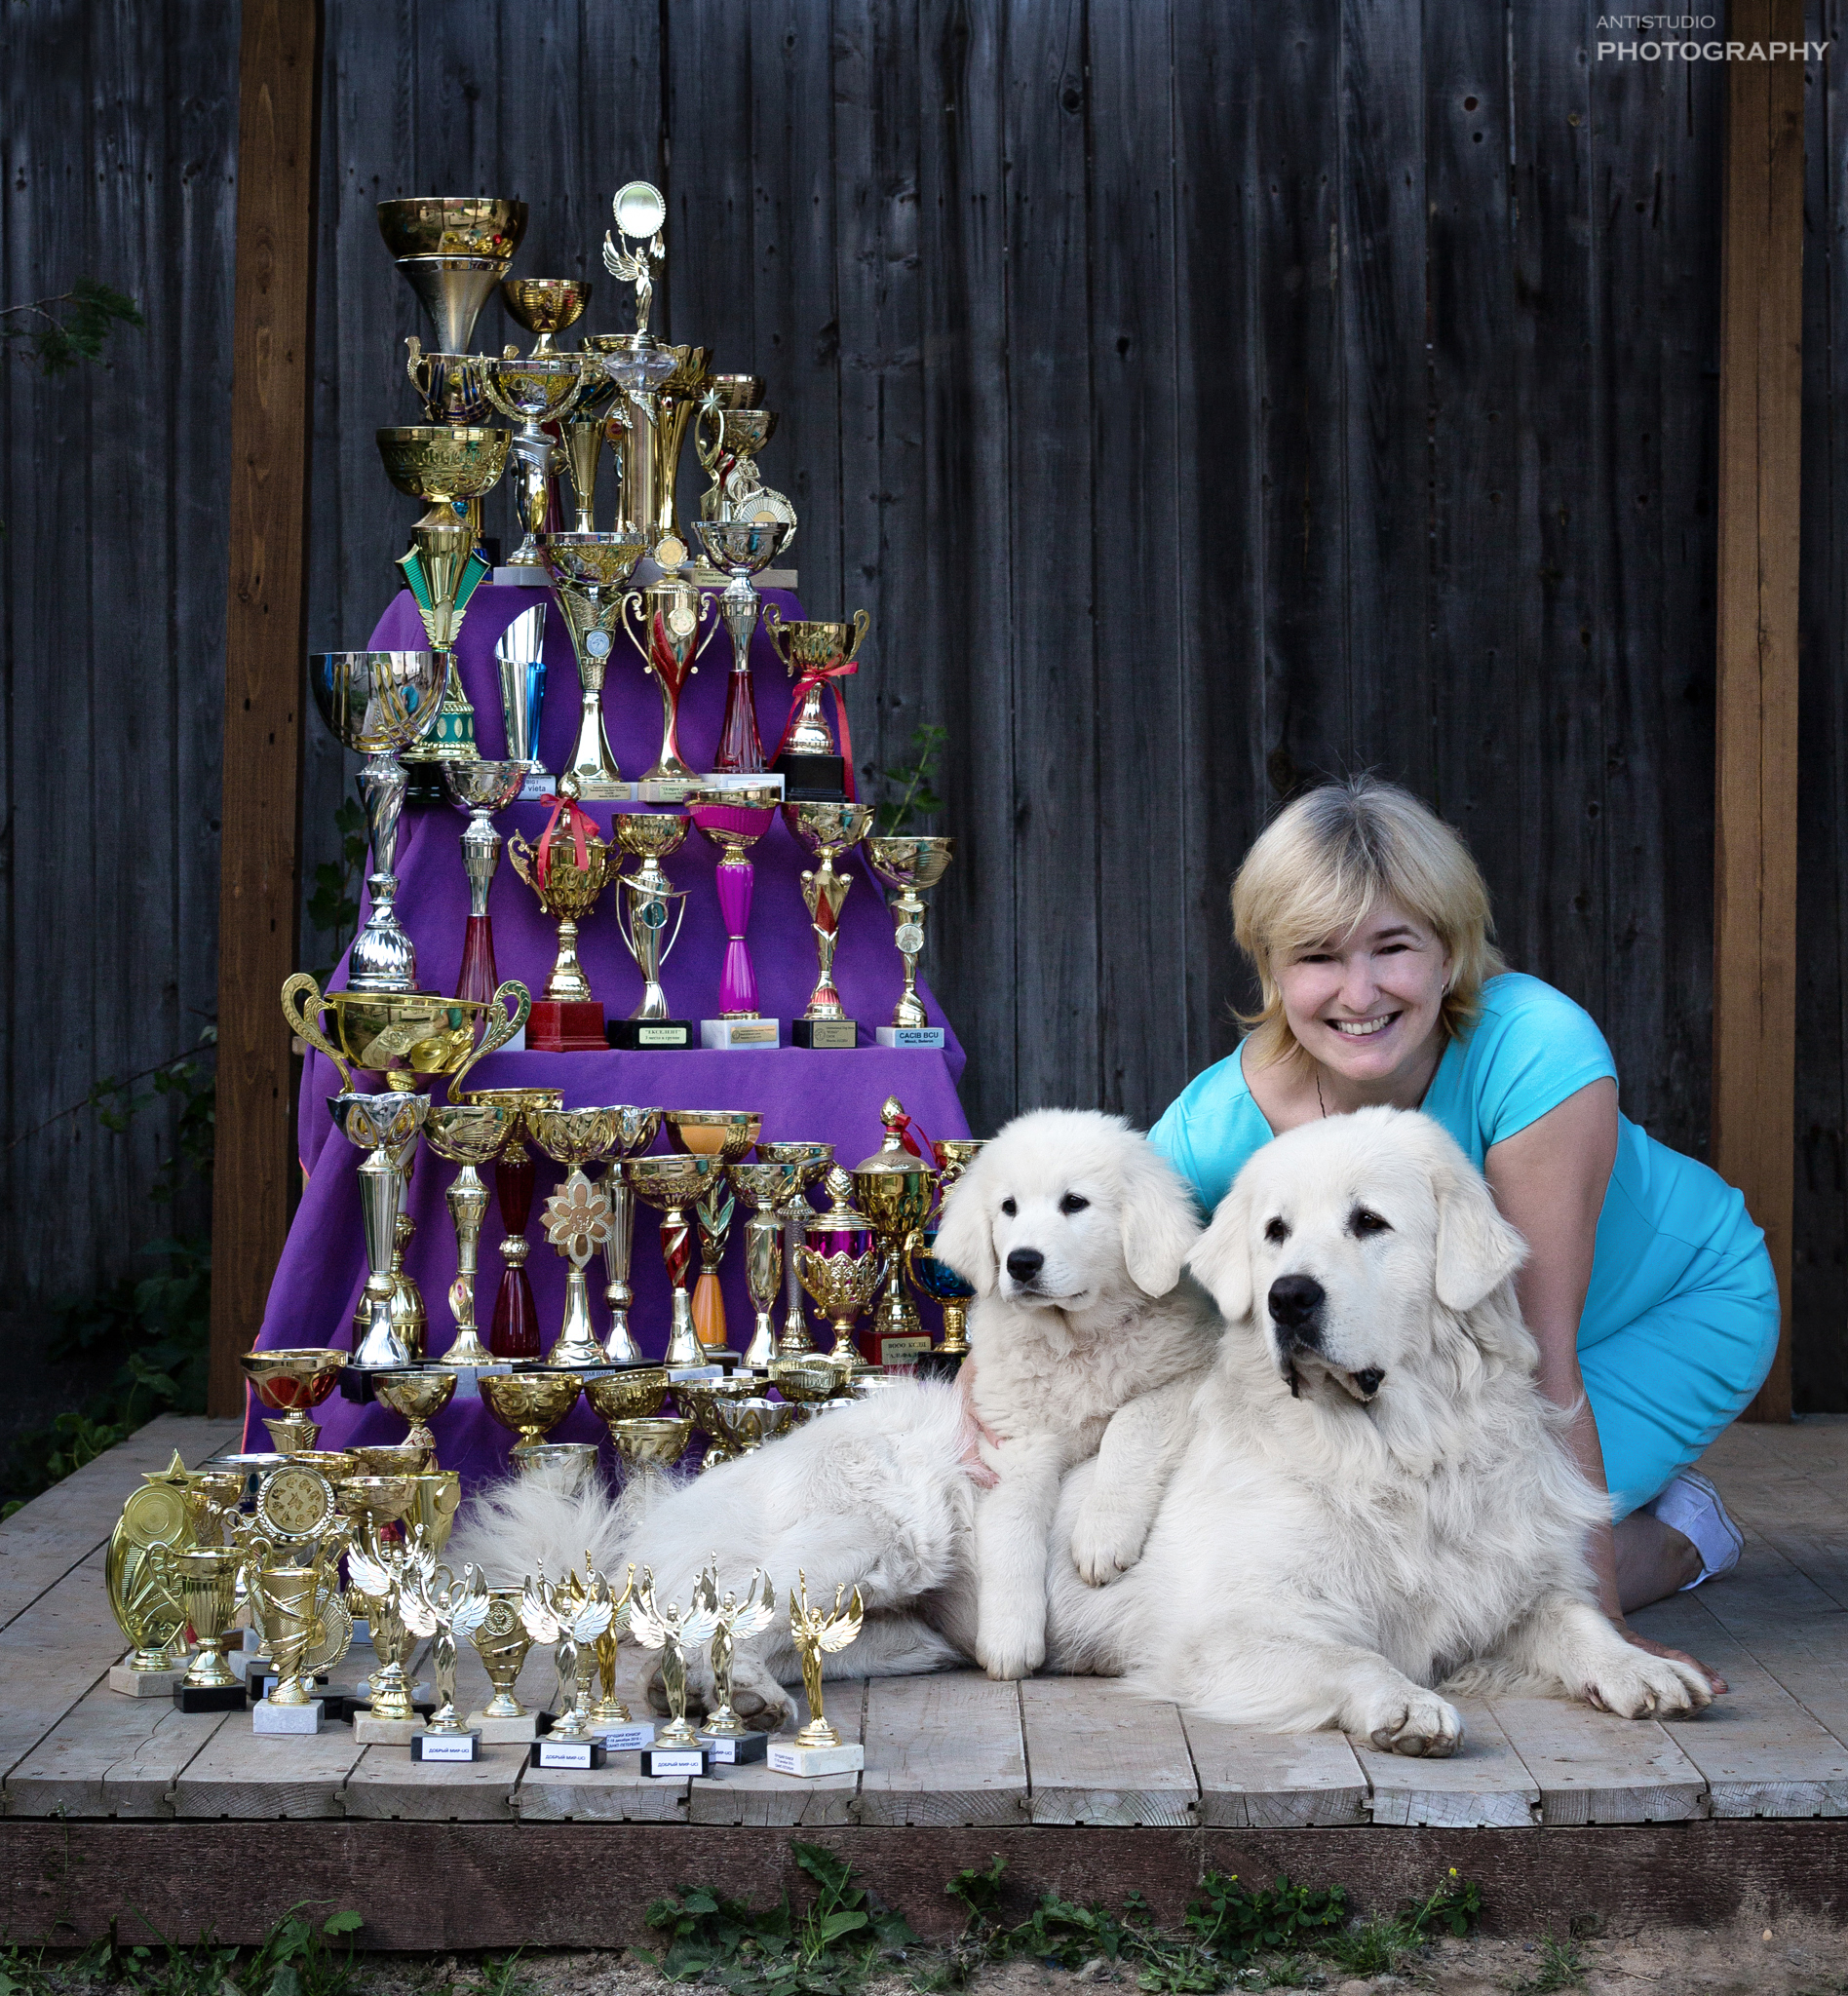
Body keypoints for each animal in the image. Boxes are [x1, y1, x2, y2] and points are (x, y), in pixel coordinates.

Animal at [452, 1109, 1221, 1716]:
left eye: (1076, 1204)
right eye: (1008, 1208)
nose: (1023, 1263)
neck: (1075, 1345)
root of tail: (655, 1532)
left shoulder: (1182, 1375)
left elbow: (1136, 1421)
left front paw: (1101, 1538)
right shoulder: (1010, 1441)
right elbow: (1015, 1529)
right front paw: (1014, 1636)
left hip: (897, 1631)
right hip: (880, 1531)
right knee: (740, 1609)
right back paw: (728, 1692)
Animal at [1037, 1109, 1724, 1748]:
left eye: (1368, 1222)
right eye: (1276, 1232)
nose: (1287, 1297)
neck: (1394, 1454)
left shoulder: (1494, 1592)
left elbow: (1575, 1617)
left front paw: (1641, 1666)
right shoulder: (1232, 1628)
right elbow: (1347, 1654)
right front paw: (1406, 1705)